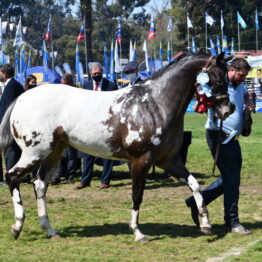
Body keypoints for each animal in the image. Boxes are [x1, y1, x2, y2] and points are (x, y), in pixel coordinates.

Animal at [0, 52, 233, 243]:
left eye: (228, 76)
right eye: (216, 77)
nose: (227, 109)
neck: (155, 104)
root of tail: (21, 98)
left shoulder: (168, 160)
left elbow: (194, 184)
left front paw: (205, 224)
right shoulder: (141, 161)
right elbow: (137, 195)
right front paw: (138, 233)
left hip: (53, 153)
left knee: (40, 184)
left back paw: (50, 230)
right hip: (34, 153)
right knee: (12, 177)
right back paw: (17, 227)